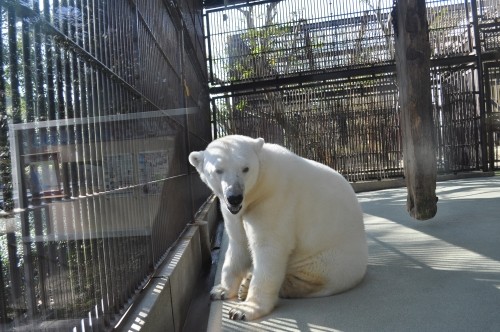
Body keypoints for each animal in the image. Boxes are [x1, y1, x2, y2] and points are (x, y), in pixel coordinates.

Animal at [188, 136, 368, 322]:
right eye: (218, 170)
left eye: (245, 168)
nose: (235, 197)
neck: (260, 185)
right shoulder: (232, 211)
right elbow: (238, 243)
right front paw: (220, 290)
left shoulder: (274, 201)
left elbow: (269, 248)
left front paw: (243, 310)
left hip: (329, 261)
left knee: (309, 277)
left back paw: (250, 287)